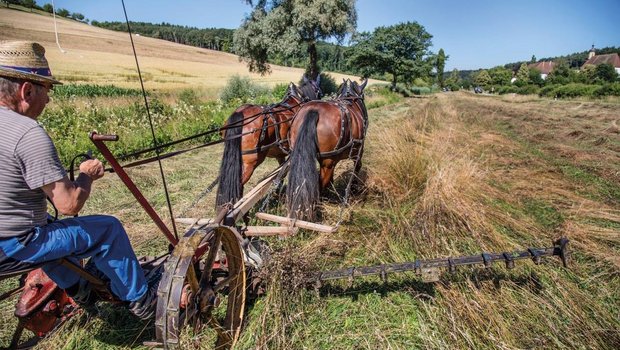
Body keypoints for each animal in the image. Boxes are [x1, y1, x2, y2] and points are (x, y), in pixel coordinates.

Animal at [214, 78, 320, 206]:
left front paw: (277, 191)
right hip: (250, 162)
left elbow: (281, 173)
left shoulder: (280, 154)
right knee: (237, 186)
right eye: (318, 89)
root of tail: (240, 114)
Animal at [286, 79, 368, 219]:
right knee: (319, 185)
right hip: (327, 162)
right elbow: (356, 168)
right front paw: (353, 189)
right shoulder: (358, 151)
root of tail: (313, 111)